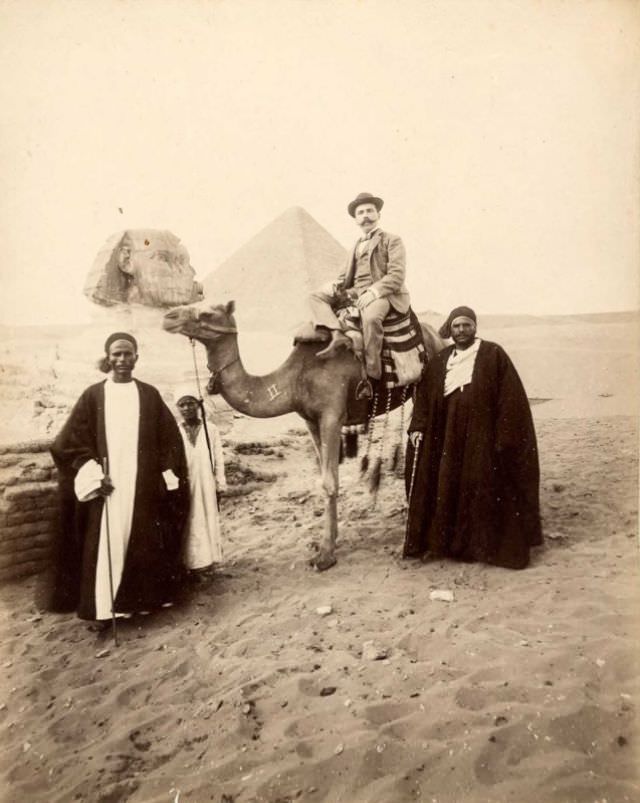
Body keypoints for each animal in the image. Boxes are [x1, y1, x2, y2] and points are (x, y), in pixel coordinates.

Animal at [164, 302, 444, 572]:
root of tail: (436, 335)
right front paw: (330, 542)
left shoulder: (332, 416)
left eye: (207, 312)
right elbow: (328, 478)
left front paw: (325, 555)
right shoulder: (310, 421)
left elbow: (329, 482)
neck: (295, 380)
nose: (169, 317)